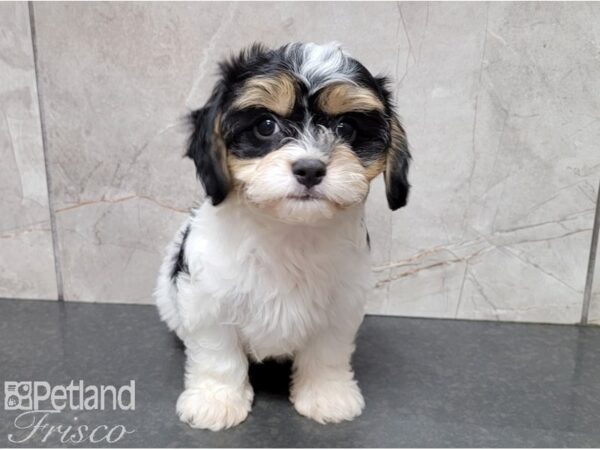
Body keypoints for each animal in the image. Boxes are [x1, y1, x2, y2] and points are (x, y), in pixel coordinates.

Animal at [155, 43, 410, 432]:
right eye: (265, 125)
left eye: (346, 127)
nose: (310, 169)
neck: (289, 229)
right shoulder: (207, 300)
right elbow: (218, 355)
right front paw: (216, 401)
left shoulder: (340, 306)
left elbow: (327, 353)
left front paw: (327, 395)